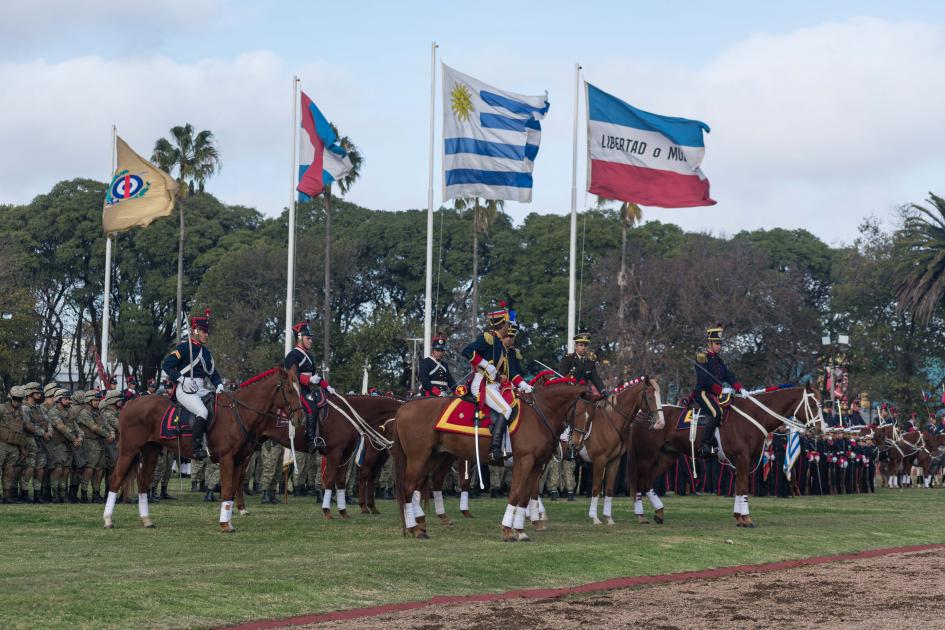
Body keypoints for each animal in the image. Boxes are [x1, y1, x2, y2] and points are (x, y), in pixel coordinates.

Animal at [103, 366, 302, 532]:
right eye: (290, 390)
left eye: (299, 389)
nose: (300, 419)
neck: (239, 413)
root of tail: (130, 404)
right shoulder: (227, 459)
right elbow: (227, 489)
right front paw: (225, 524)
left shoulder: (239, 460)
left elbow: (232, 489)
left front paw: (229, 519)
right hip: (128, 451)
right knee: (116, 480)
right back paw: (108, 520)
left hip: (151, 452)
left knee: (143, 483)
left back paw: (146, 520)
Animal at [390, 386, 592, 544]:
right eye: (578, 413)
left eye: (592, 418)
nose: (577, 445)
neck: (539, 415)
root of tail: (405, 406)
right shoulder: (524, 462)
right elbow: (516, 493)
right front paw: (508, 530)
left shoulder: (536, 466)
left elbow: (525, 497)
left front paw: (521, 531)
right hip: (419, 457)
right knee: (408, 487)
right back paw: (414, 527)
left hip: (434, 457)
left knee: (420, 486)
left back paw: (420, 525)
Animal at [568, 380, 664, 528]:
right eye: (649, 397)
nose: (660, 423)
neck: (611, 423)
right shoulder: (599, 461)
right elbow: (596, 488)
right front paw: (594, 518)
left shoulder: (615, 461)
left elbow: (609, 489)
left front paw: (608, 518)